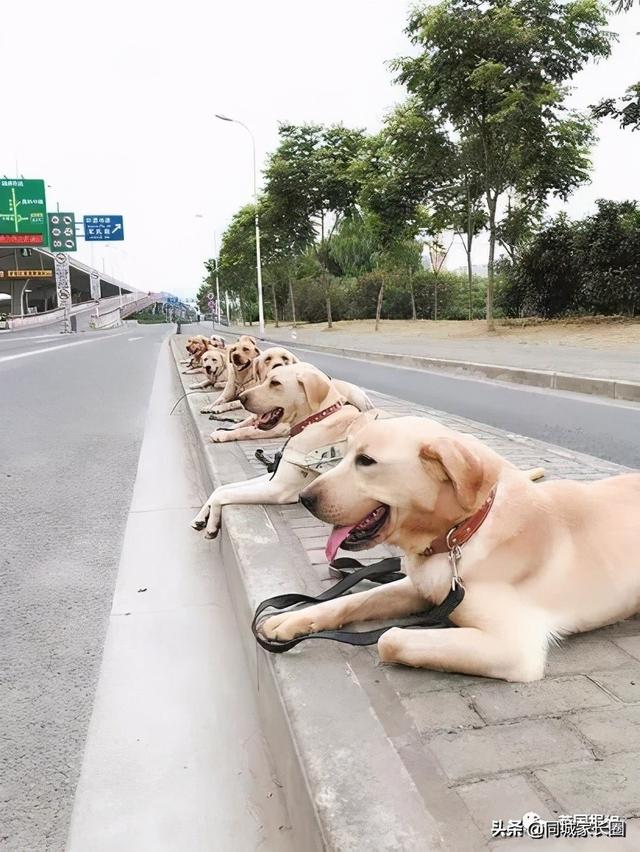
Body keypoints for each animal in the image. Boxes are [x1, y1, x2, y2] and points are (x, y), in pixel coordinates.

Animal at [256, 416, 640, 684]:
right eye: (345, 453)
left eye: (365, 460)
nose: (304, 498)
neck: (461, 534)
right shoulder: (418, 585)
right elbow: (351, 600)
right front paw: (290, 620)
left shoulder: (514, 647)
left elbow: (389, 639)